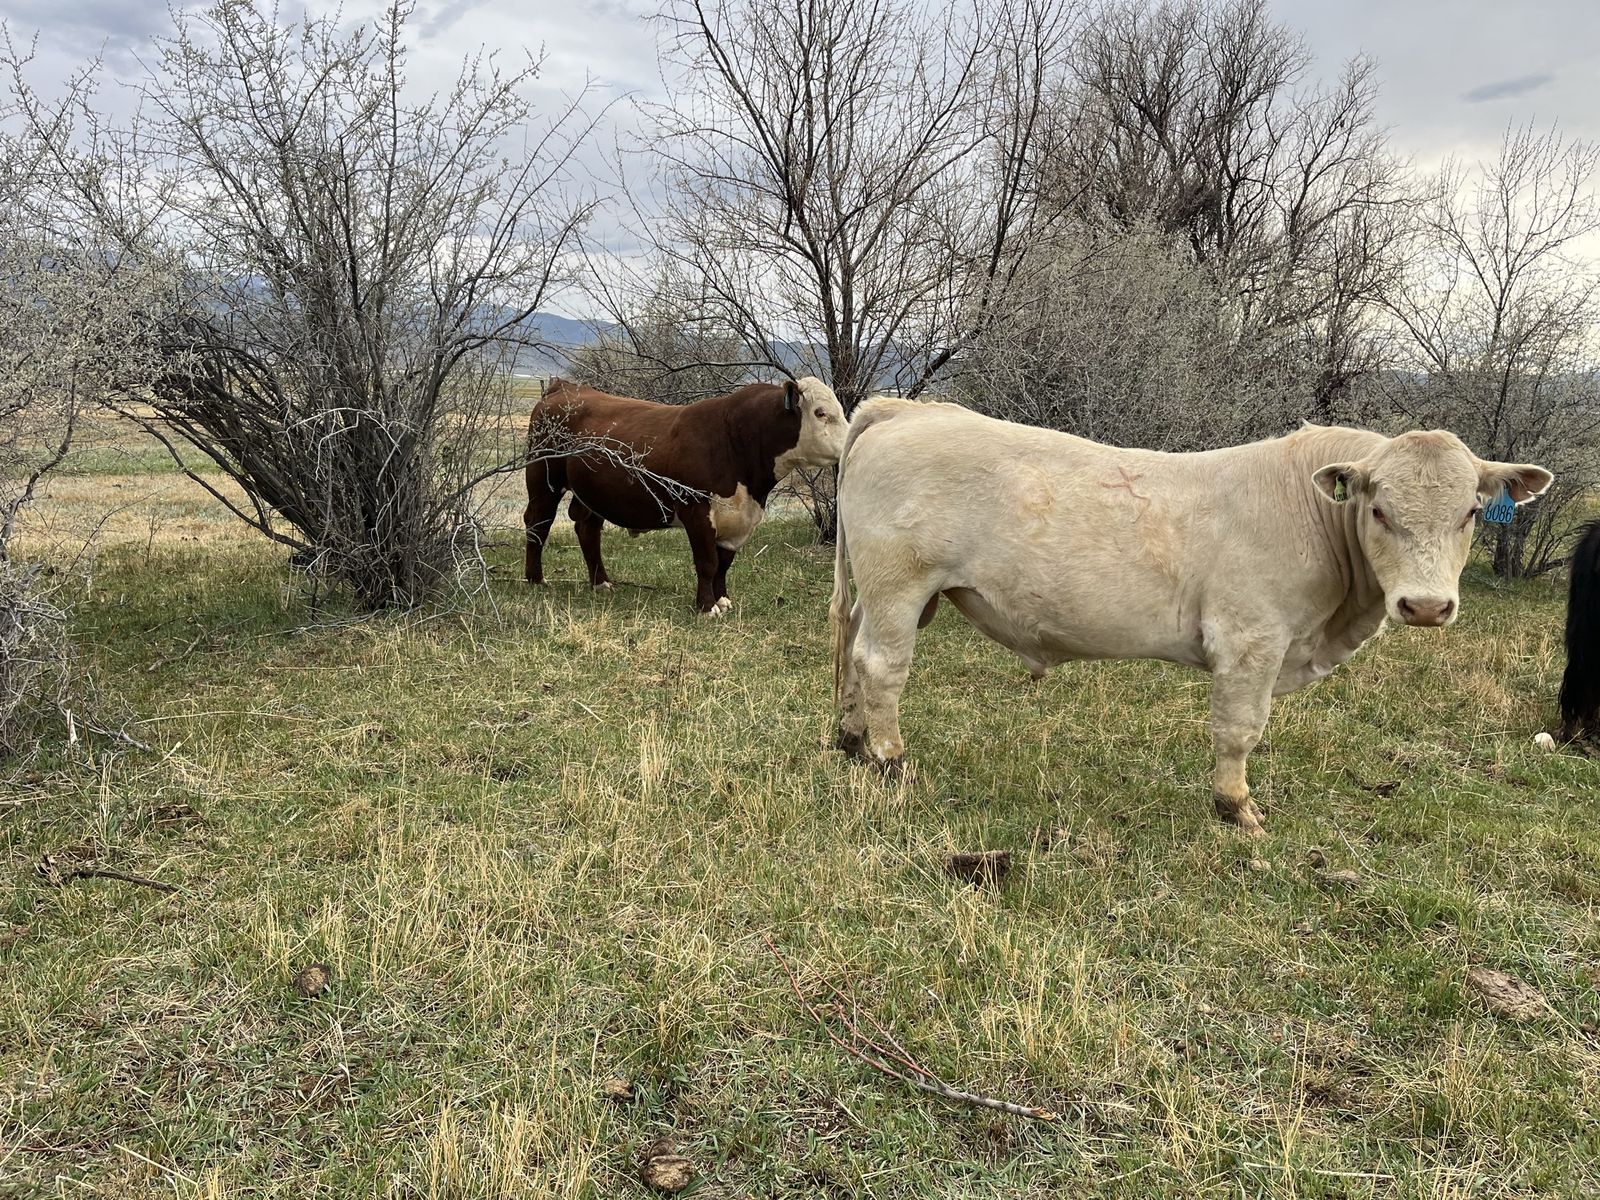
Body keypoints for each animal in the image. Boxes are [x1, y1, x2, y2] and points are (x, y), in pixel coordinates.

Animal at [524, 376, 847, 614]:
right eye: (821, 413)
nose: (847, 446)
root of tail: (565, 387)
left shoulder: (737, 518)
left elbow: (723, 564)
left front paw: (722, 600)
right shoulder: (697, 510)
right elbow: (707, 562)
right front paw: (706, 607)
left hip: (591, 492)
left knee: (587, 527)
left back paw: (600, 582)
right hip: (543, 479)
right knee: (538, 523)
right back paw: (535, 579)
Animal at [828, 398, 1553, 833]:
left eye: (1469, 512)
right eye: (1379, 510)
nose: (1426, 605)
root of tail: (907, 409)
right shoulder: (1250, 638)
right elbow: (1239, 729)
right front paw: (1237, 808)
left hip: (889, 593)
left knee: (854, 650)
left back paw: (851, 739)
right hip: (901, 584)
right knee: (882, 665)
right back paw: (890, 760)